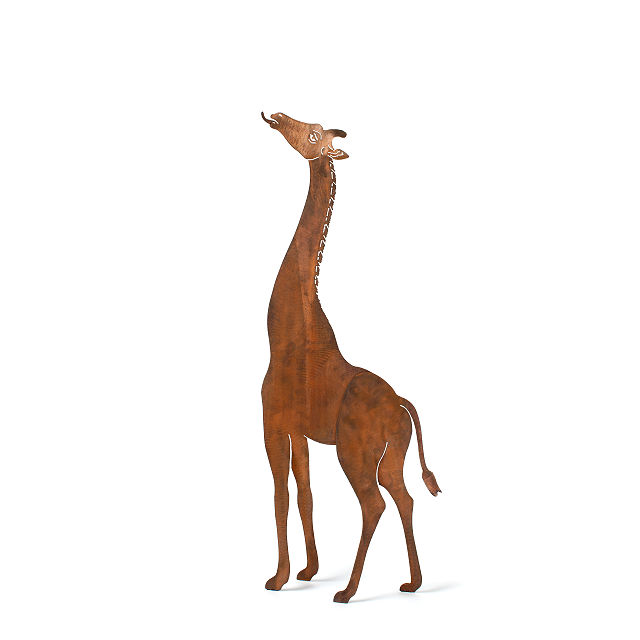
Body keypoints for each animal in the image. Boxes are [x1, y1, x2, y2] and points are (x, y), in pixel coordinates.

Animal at [261, 112, 441, 604]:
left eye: (313, 134)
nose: (277, 116)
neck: (286, 336)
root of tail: (401, 404)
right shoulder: (300, 431)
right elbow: (305, 493)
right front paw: (307, 571)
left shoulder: (273, 423)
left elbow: (281, 495)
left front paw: (278, 579)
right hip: (392, 455)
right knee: (404, 497)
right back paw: (412, 583)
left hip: (355, 453)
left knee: (373, 503)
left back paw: (348, 592)